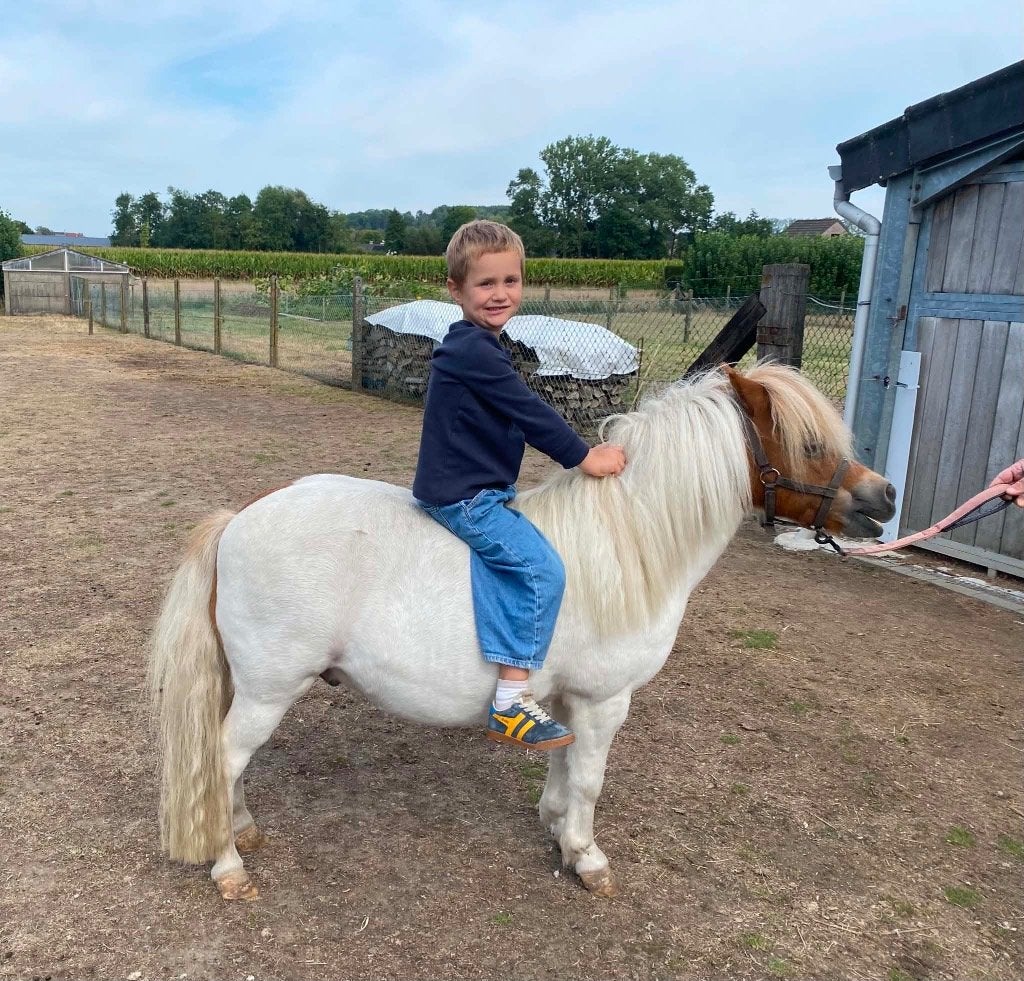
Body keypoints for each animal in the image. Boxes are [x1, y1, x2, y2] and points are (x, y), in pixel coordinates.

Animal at [148, 363, 896, 901]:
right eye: (810, 444)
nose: (884, 497)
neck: (625, 539)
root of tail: (238, 520)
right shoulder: (603, 701)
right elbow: (591, 779)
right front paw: (587, 856)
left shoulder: (569, 701)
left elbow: (565, 770)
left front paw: (557, 830)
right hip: (271, 689)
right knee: (222, 759)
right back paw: (227, 865)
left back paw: (240, 830)